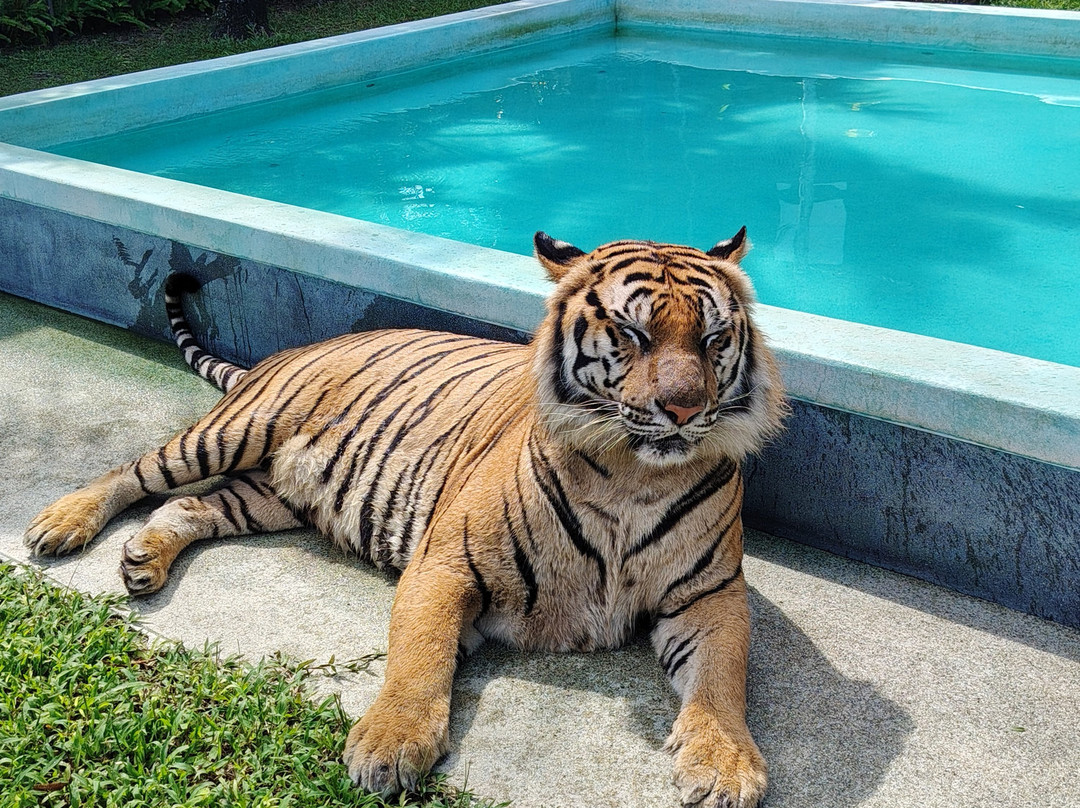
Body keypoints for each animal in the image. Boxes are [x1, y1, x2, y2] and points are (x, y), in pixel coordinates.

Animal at [25, 228, 786, 808]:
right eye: (632, 333)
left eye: (714, 337)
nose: (685, 409)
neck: (634, 476)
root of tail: (293, 351)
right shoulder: (446, 561)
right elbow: (418, 656)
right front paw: (388, 747)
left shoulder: (712, 596)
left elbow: (721, 680)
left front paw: (725, 767)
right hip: (233, 430)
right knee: (137, 470)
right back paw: (60, 522)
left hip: (268, 495)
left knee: (191, 503)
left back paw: (143, 560)